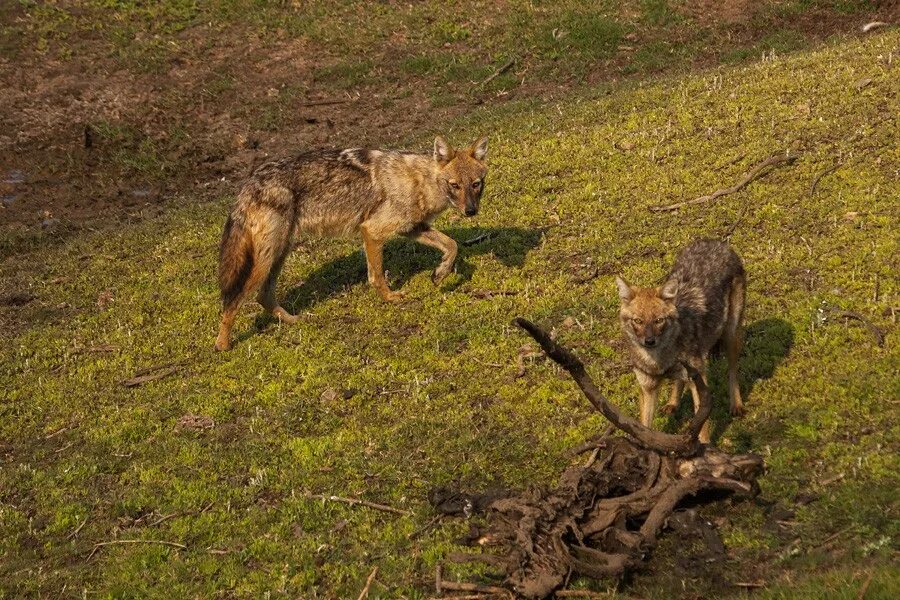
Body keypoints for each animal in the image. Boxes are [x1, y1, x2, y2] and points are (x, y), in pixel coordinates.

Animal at [215, 136, 488, 352]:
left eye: (476, 184)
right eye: (455, 185)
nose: (471, 211)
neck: (419, 181)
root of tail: (249, 183)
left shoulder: (412, 229)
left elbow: (452, 245)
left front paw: (440, 274)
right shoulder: (372, 231)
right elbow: (377, 276)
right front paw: (390, 298)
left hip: (279, 254)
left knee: (263, 296)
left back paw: (293, 321)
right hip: (265, 260)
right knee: (233, 300)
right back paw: (223, 345)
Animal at [616, 238, 740, 440]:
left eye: (659, 320)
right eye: (638, 321)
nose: (649, 342)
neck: (659, 362)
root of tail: (714, 242)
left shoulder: (699, 381)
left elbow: (702, 427)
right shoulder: (648, 389)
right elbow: (645, 428)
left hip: (731, 336)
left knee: (733, 370)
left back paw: (736, 405)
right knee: (679, 381)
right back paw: (673, 403)